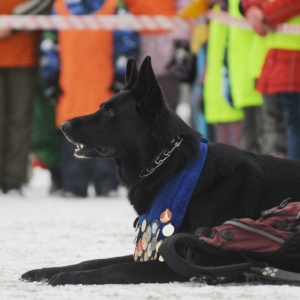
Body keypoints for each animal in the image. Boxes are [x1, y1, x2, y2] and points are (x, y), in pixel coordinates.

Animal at [21, 56, 300, 286]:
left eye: (110, 111)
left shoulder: (187, 261)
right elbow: (94, 261)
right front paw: (44, 271)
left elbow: (114, 269)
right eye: (102, 106)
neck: (171, 166)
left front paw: (67, 277)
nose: (64, 126)